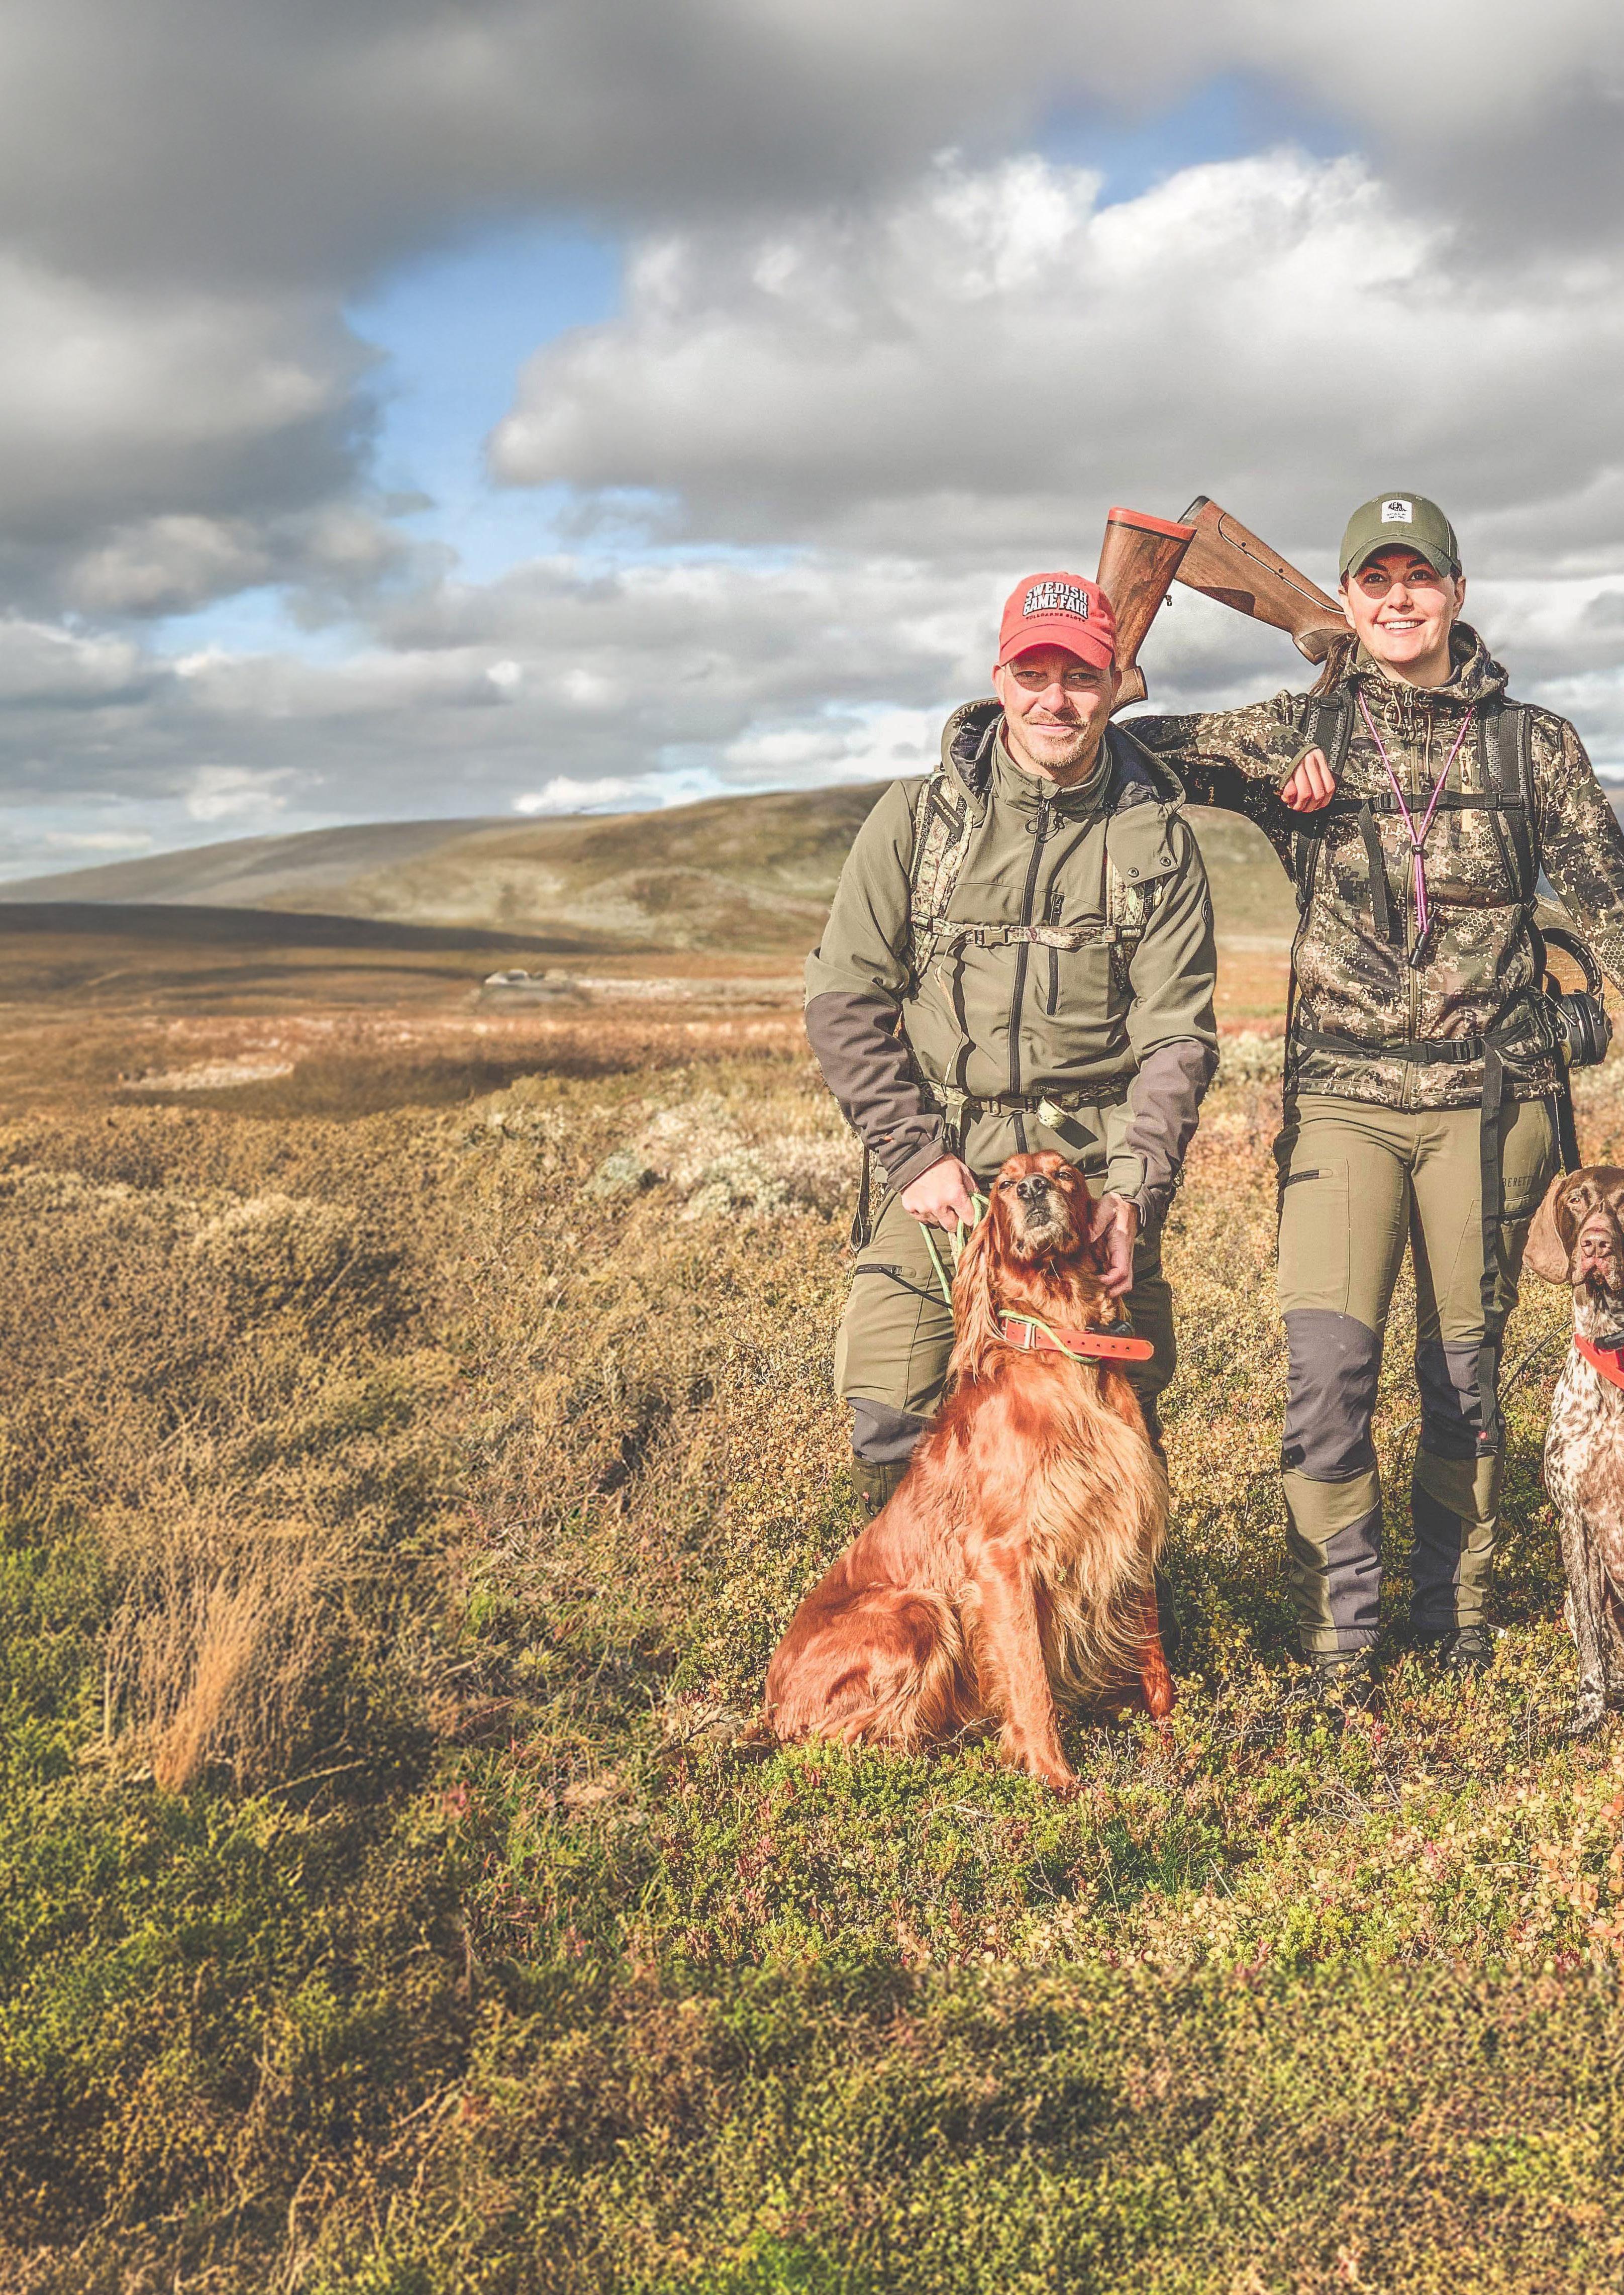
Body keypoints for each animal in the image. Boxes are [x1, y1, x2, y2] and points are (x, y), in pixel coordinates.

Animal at [765, 1151, 1173, 1794]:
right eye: (1004, 1184)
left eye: (1064, 1173)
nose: (1033, 1189)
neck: (1061, 1351)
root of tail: (770, 1702)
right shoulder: (1002, 1558)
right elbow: (1030, 1680)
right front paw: (1056, 1781)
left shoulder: (1124, 1519)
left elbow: (1154, 1660)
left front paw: (1177, 1745)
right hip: (917, 1611)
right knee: (828, 1744)